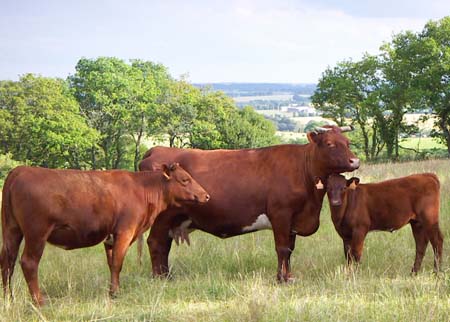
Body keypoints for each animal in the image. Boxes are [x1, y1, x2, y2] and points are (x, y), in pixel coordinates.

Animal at [0, 164, 209, 304]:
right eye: (185, 179)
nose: (206, 195)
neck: (141, 188)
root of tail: (20, 170)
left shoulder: (110, 238)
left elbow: (111, 263)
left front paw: (111, 291)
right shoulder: (125, 231)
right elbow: (118, 263)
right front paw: (115, 293)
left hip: (11, 230)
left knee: (7, 262)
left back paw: (8, 298)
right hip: (36, 234)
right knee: (28, 263)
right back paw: (39, 300)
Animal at [139, 126, 360, 282]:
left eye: (348, 142)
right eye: (330, 143)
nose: (355, 161)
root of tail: (155, 150)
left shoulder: (293, 221)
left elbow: (290, 249)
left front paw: (289, 276)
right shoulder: (281, 214)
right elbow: (282, 248)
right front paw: (281, 279)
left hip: (173, 220)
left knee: (164, 244)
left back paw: (166, 275)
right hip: (162, 218)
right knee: (156, 243)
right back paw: (160, 278)